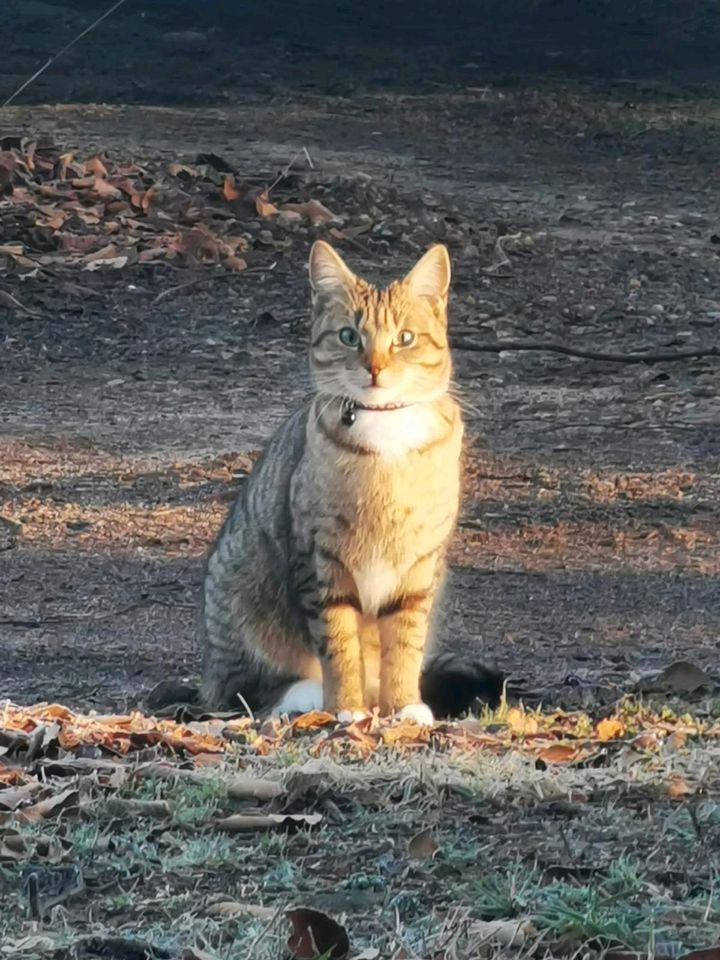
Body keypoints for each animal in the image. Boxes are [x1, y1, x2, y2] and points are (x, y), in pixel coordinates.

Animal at [200, 244, 464, 724]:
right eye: (348, 336)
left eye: (405, 338)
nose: (375, 367)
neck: (385, 431)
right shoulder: (321, 561)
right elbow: (340, 646)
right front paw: (347, 708)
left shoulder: (419, 567)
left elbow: (405, 643)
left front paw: (403, 706)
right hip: (238, 598)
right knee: (245, 692)